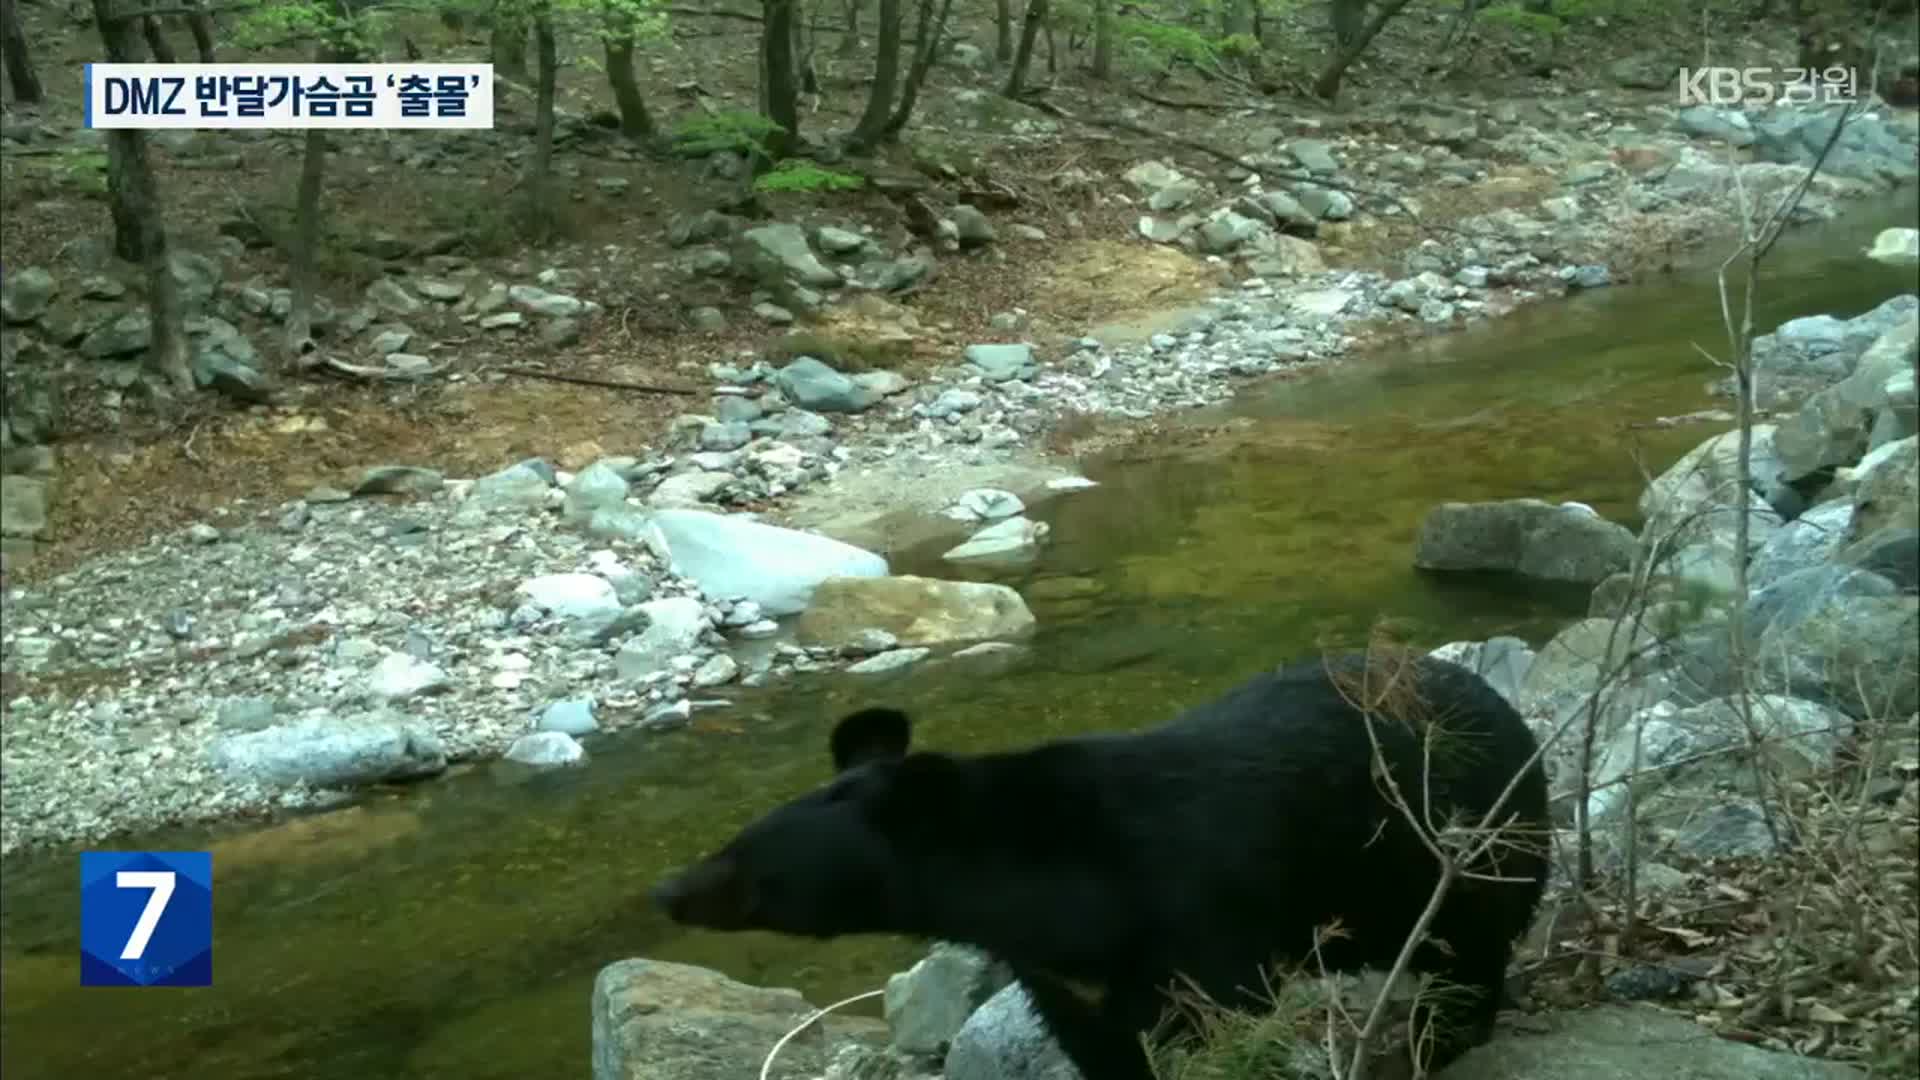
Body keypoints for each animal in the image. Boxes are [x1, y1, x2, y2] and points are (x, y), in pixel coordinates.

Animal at [652, 653, 1551, 1068]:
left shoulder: (1199, 920)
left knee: (1464, 961)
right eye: (731, 841)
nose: (668, 889)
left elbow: (1208, 1020)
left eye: (751, 861)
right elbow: (1102, 1044)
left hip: (1466, 855)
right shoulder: (1060, 973)